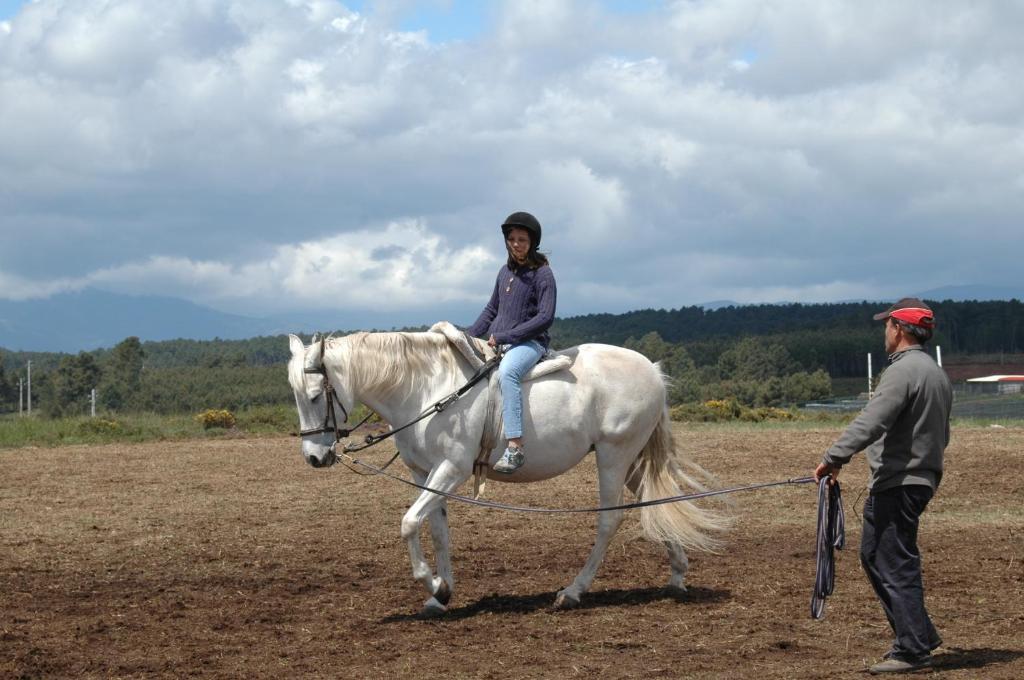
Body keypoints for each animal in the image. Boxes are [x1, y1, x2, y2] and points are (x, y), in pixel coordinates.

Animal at [288, 329, 729, 614]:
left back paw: (573, 592)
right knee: (652, 501)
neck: (425, 388)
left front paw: (432, 584)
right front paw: (440, 594)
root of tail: (651, 369)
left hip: (613, 455)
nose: (314, 457)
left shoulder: (451, 469)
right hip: (631, 459)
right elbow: (436, 529)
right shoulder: (423, 472)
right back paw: (677, 576)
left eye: (316, 395)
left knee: (610, 520)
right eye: (296, 396)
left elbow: (409, 523)